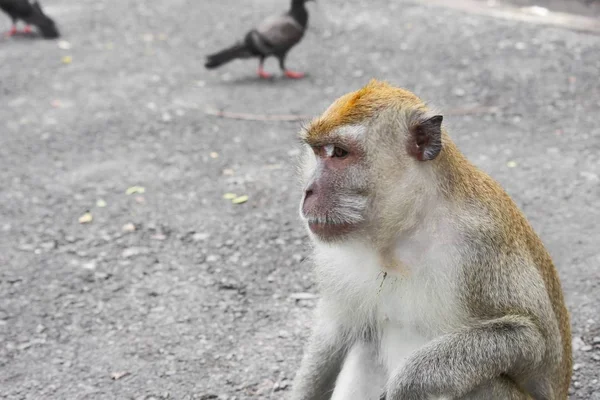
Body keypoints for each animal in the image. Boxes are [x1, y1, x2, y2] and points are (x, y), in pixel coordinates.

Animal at [292, 80, 576, 400]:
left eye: (339, 153)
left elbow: (533, 339)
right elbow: (334, 332)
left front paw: (408, 380)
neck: (404, 231)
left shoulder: (483, 244)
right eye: (318, 152)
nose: (308, 191)